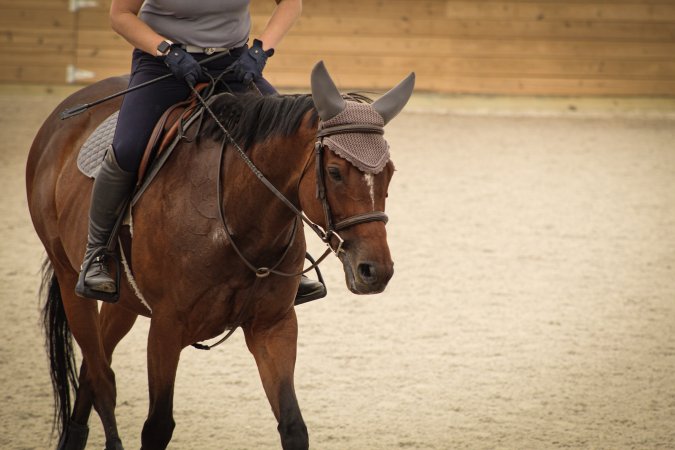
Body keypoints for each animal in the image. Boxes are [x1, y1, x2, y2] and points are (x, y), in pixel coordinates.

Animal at [26, 60, 414, 450]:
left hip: (124, 302)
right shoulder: (166, 328)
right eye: (335, 172)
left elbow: (293, 425)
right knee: (102, 377)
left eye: (390, 173)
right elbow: (157, 426)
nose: (375, 270)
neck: (235, 217)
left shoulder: (273, 325)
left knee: (94, 369)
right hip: (69, 280)